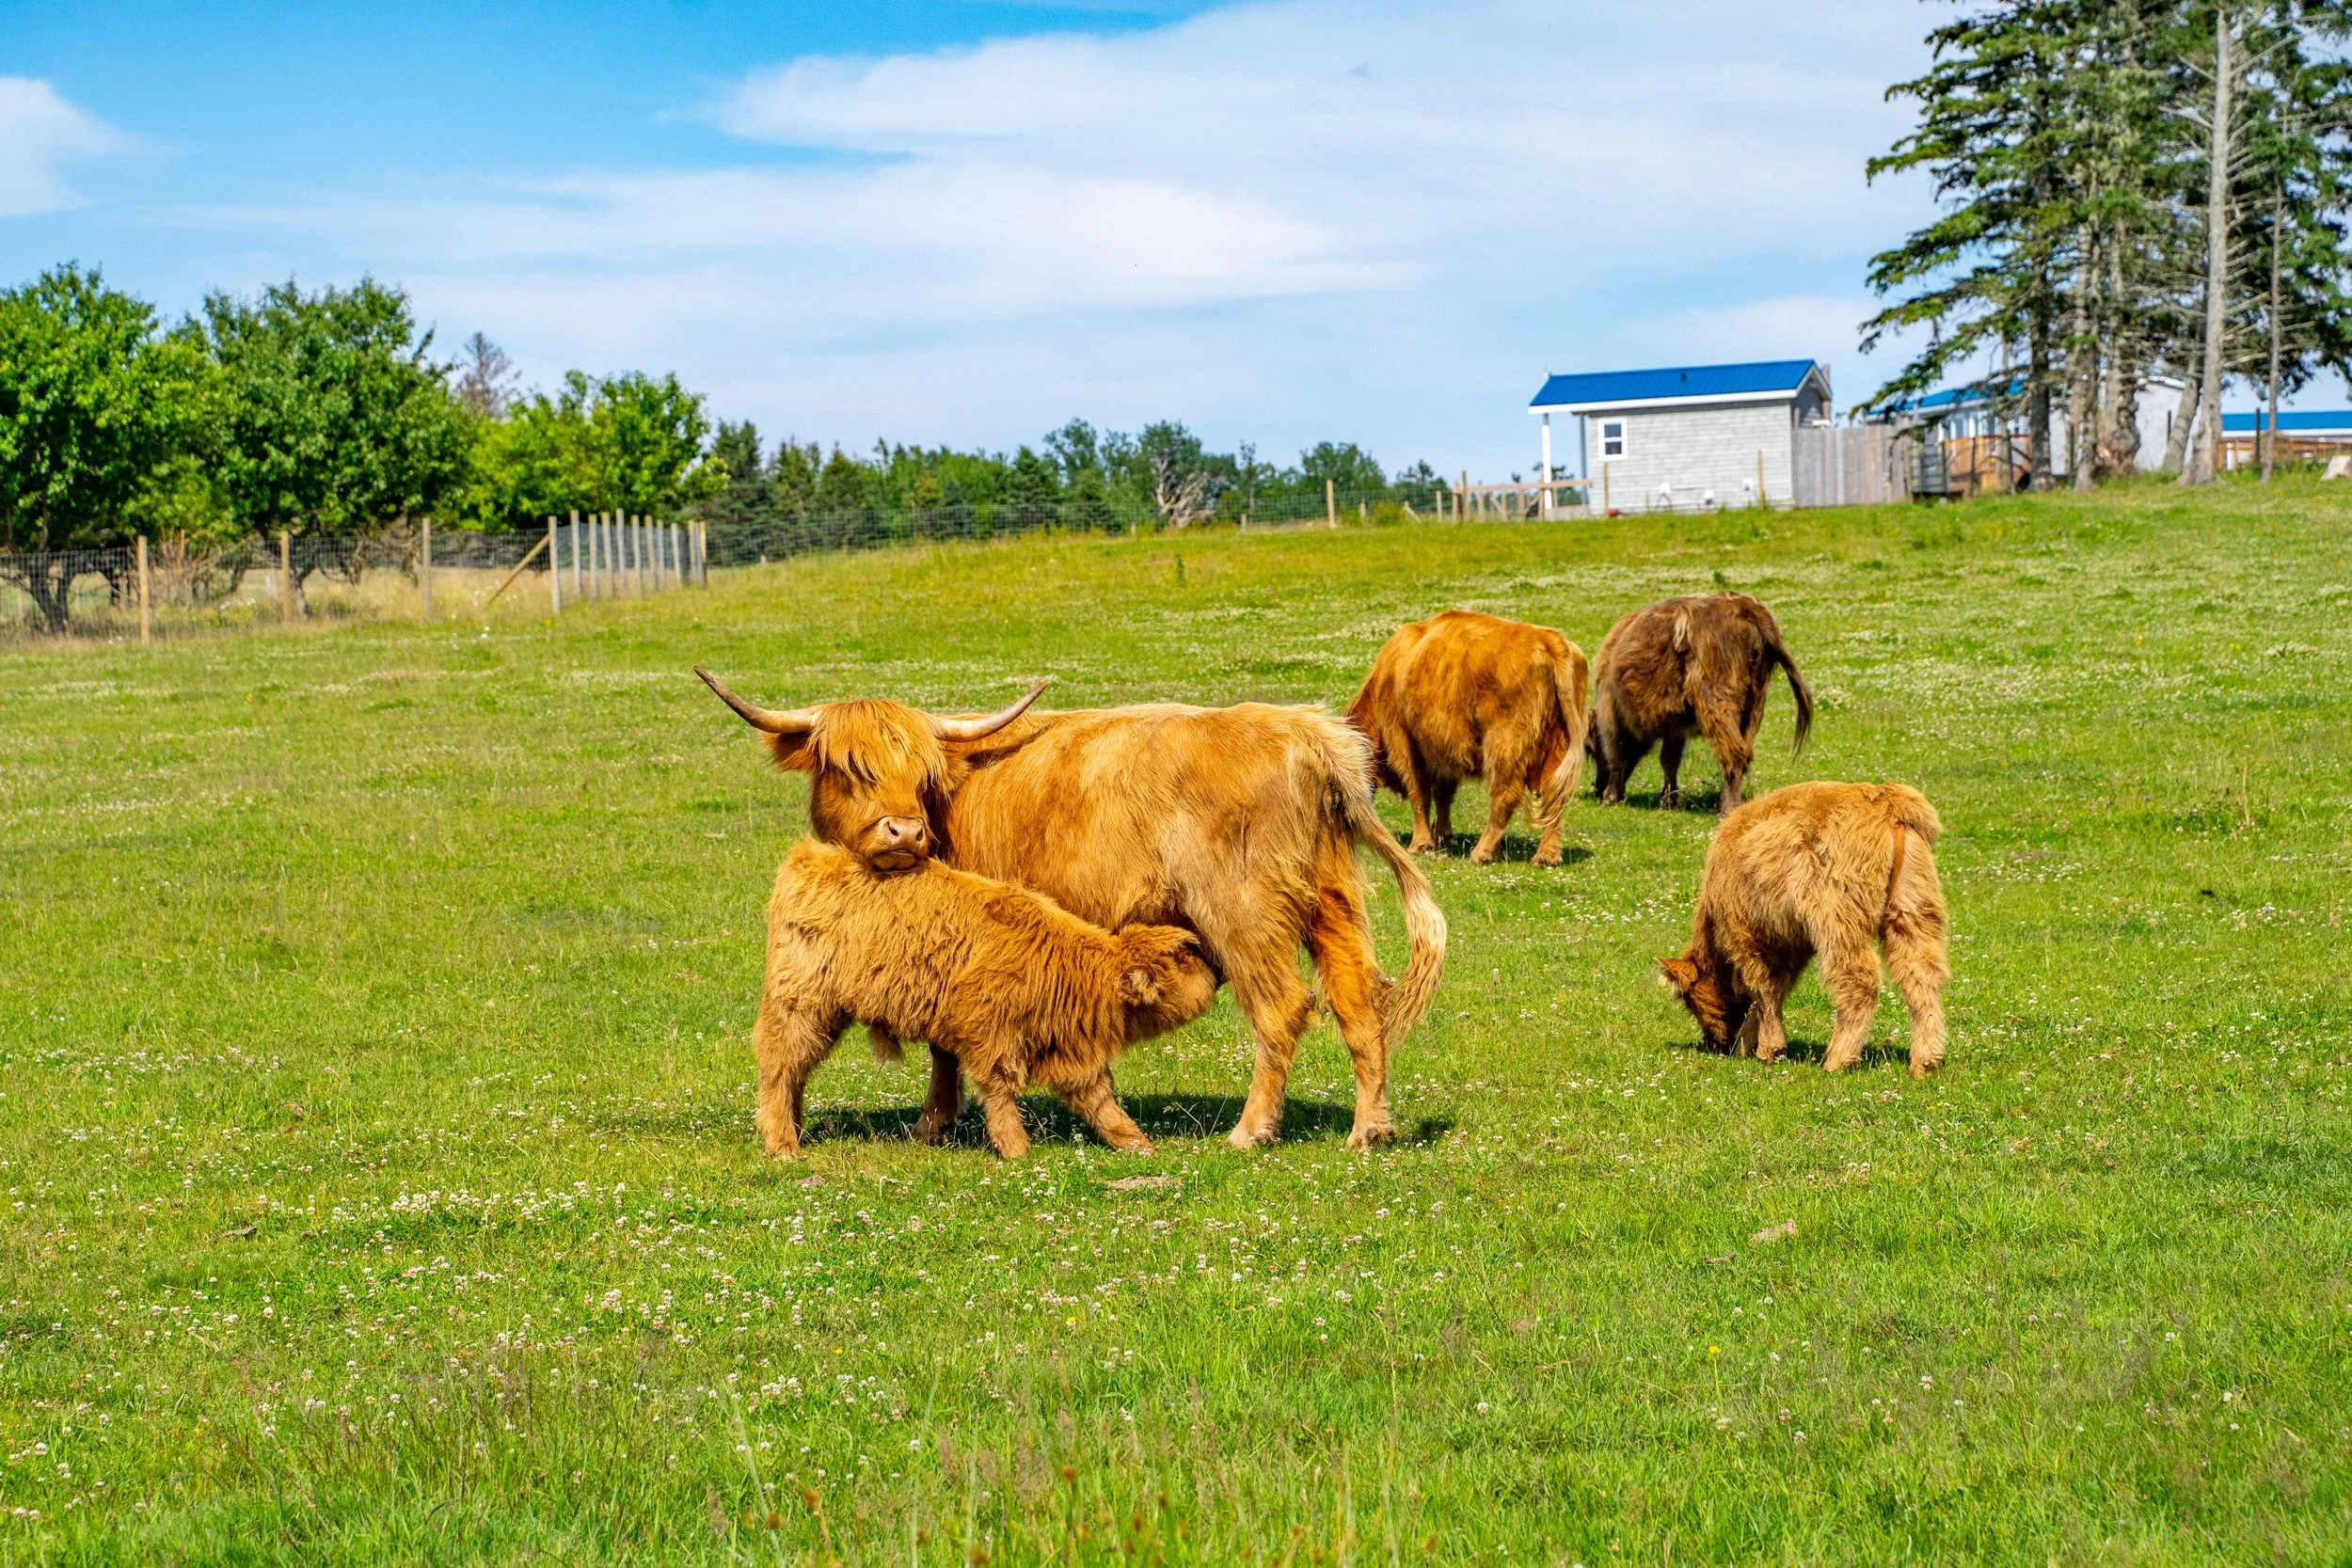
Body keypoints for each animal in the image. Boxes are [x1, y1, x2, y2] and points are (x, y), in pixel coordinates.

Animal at [755, 838, 1219, 1158]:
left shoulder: (1073, 1052)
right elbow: (1001, 1091)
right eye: (1184, 955)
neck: (1071, 968)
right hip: (799, 1005)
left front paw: (1135, 1141)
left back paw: (795, 1130)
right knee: (779, 1066)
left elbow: (1099, 1099)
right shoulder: (991, 1033)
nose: (1216, 971)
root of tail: (809, 858)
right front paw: (1015, 1148)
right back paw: (783, 1145)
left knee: (796, 1071)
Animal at [1344, 610, 1590, 867]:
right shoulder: (1443, 752)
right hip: (1558, 745)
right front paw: (1442, 837)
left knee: (1505, 797)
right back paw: (1546, 857)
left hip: (1504, 746)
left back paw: (1482, 853)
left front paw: (1421, 844)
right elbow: (1443, 795)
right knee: (1555, 797)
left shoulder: (1405, 744)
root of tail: (1551, 640)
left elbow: (1419, 793)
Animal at [1588, 592, 1813, 815]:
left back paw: (1727, 807)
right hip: (1754, 704)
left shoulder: (1613, 714)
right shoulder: (1674, 727)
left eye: (1590, 749)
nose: (1597, 788)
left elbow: (1618, 756)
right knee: (1743, 752)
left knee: (1732, 752)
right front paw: (1669, 800)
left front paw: (1610, 797)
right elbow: (1669, 761)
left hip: (1716, 699)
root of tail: (1745, 606)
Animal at [1659, 780, 1948, 1078]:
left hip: (1839, 918)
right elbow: (1772, 991)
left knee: (1859, 980)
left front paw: (1768, 1048)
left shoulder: (1747, 936)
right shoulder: (1789, 944)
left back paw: (1838, 1060)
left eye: (1689, 1001)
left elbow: (1763, 988)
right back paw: (1926, 1061)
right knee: (1922, 975)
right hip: (1911, 908)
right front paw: (1750, 1043)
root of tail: (1885, 799)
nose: (1713, 1044)